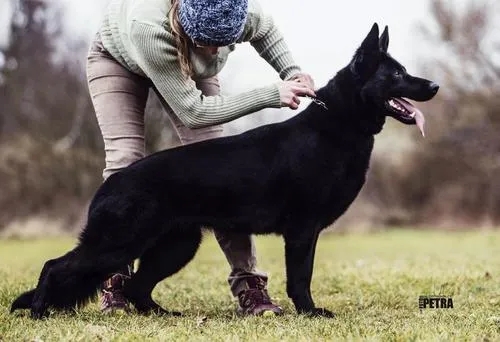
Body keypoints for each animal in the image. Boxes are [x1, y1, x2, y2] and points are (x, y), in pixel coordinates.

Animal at [10, 23, 438, 318]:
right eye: (396, 74)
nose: (434, 86)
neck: (339, 124)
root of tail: (112, 182)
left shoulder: (306, 232)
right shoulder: (302, 231)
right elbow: (301, 278)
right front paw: (310, 313)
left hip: (174, 247)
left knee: (137, 288)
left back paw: (163, 316)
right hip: (118, 244)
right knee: (57, 266)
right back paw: (39, 310)